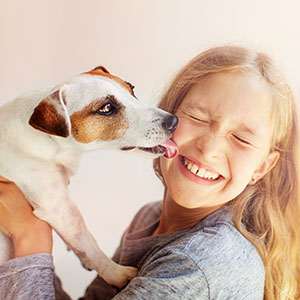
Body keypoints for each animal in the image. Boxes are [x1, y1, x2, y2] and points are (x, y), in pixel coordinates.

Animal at [0, 66, 178, 288]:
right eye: (106, 108)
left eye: (131, 89)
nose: (173, 121)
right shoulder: (59, 208)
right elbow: (87, 242)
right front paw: (115, 273)